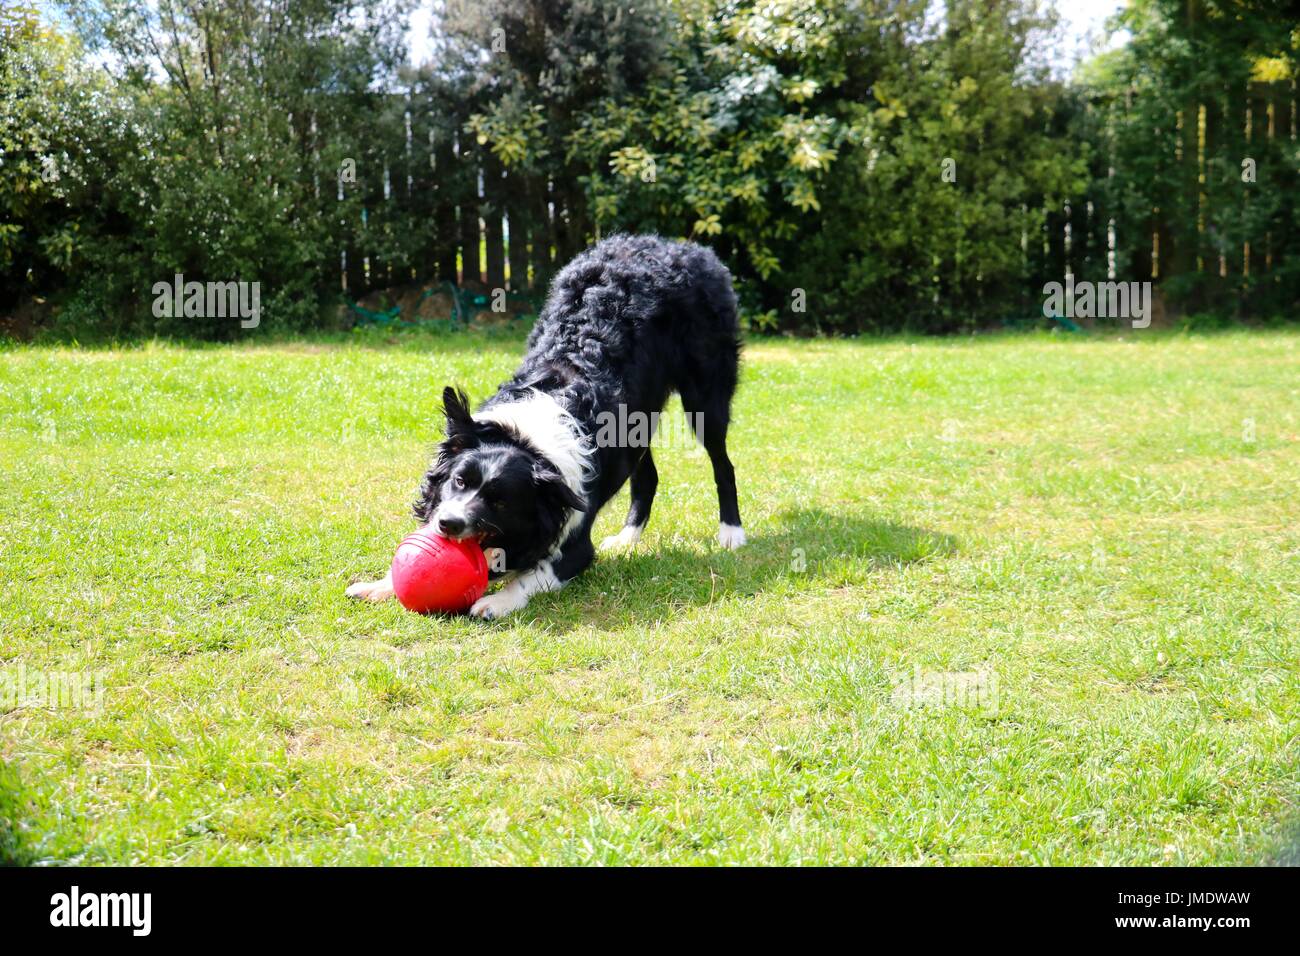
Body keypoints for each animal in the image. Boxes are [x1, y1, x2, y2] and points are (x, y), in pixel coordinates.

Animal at [345, 235, 748, 616]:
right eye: (459, 481)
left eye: (501, 501)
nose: (449, 525)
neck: (527, 441)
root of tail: (682, 247)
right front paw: (380, 584)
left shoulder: (574, 541)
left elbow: (538, 573)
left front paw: (498, 601)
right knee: (646, 474)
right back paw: (627, 539)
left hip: (706, 393)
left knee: (723, 463)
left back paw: (731, 533)